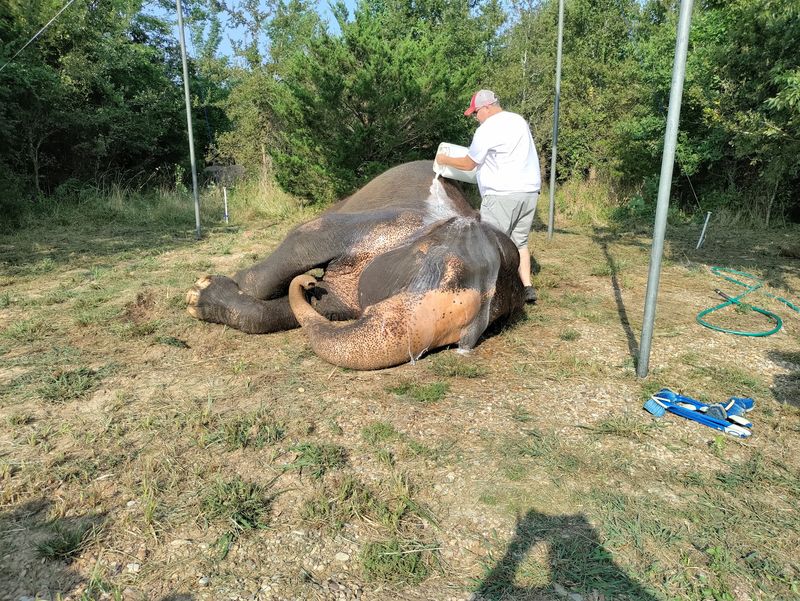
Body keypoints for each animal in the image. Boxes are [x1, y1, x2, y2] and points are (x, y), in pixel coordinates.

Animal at [186, 160, 525, 370]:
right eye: (442, 269)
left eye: (466, 338)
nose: (308, 282)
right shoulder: (390, 222)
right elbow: (305, 238)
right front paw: (210, 286)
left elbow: (326, 306)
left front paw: (200, 295)